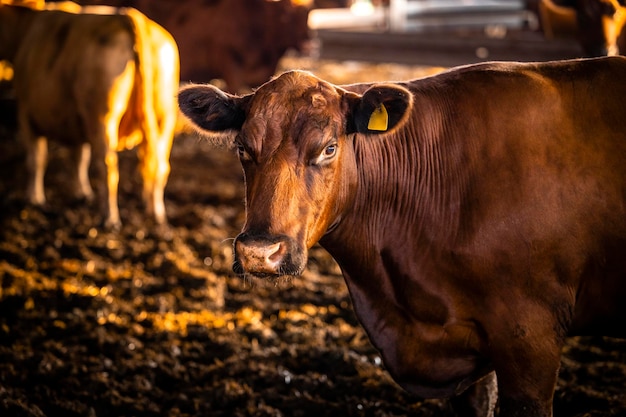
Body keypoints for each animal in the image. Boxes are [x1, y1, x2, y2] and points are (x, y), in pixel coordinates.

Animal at [0, 0, 180, 228]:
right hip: (164, 117)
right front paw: (82, 192)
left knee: (108, 165)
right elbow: (79, 157)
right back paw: (156, 214)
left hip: (102, 116)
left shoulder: (26, 114)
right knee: (160, 164)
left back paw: (110, 218)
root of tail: (126, 16)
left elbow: (36, 159)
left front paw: (34, 198)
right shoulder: (77, 121)